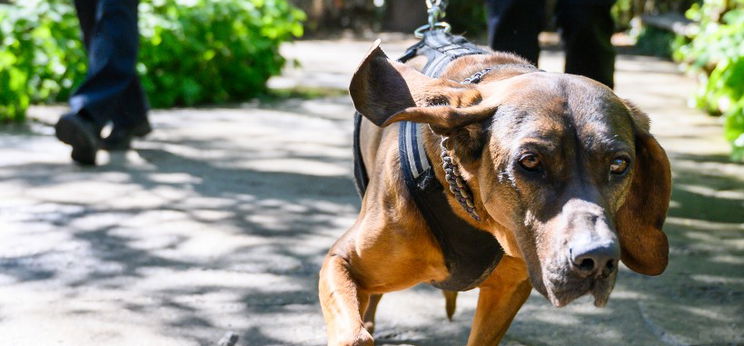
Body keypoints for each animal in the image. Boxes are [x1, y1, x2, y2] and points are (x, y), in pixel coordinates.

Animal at [316, 39, 672, 344]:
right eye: (530, 161)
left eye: (619, 164)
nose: (598, 259)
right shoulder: (340, 262)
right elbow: (355, 335)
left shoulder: (508, 291)